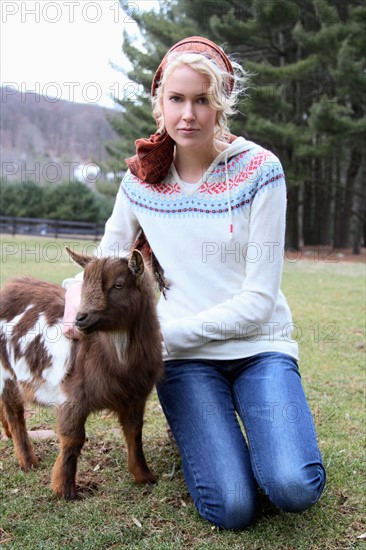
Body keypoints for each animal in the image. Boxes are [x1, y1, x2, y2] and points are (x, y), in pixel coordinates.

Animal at [0, 249, 163, 500]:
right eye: (84, 284)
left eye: (118, 284)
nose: (80, 318)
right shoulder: (73, 396)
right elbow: (73, 439)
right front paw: (64, 490)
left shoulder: (136, 397)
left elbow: (135, 433)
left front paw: (145, 476)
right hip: (7, 373)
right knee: (15, 412)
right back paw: (28, 461)